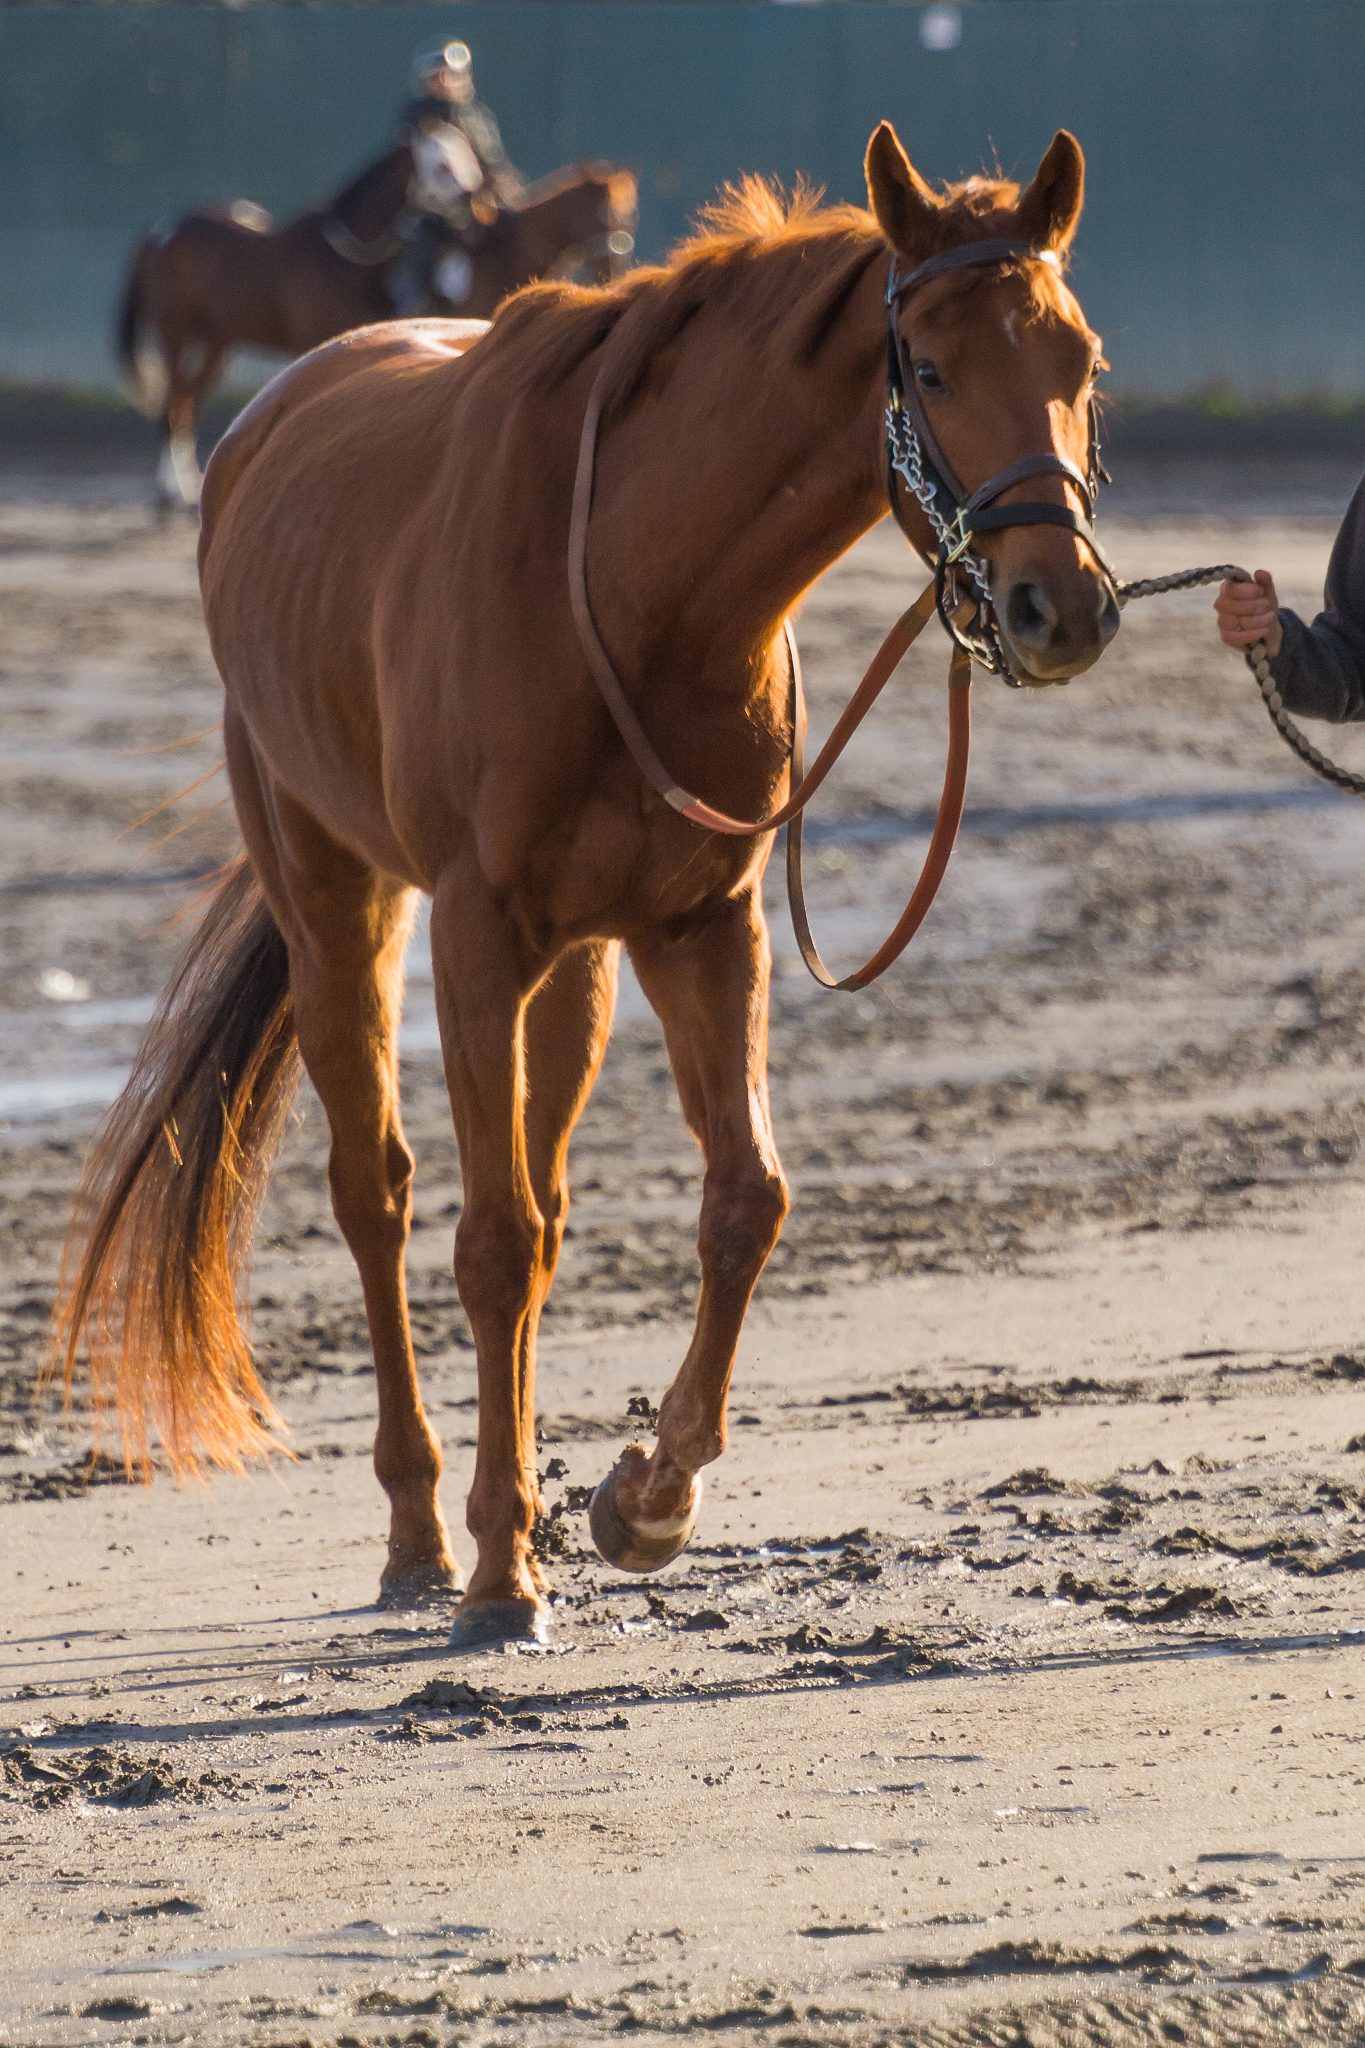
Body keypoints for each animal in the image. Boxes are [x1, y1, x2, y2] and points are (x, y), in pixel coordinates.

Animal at [116, 152, 638, 505]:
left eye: (627, 214)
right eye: (602, 214)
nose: (614, 267)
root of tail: (163, 227)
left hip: (216, 340)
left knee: (187, 398)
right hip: (176, 332)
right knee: (174, 400)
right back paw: (174, 490)